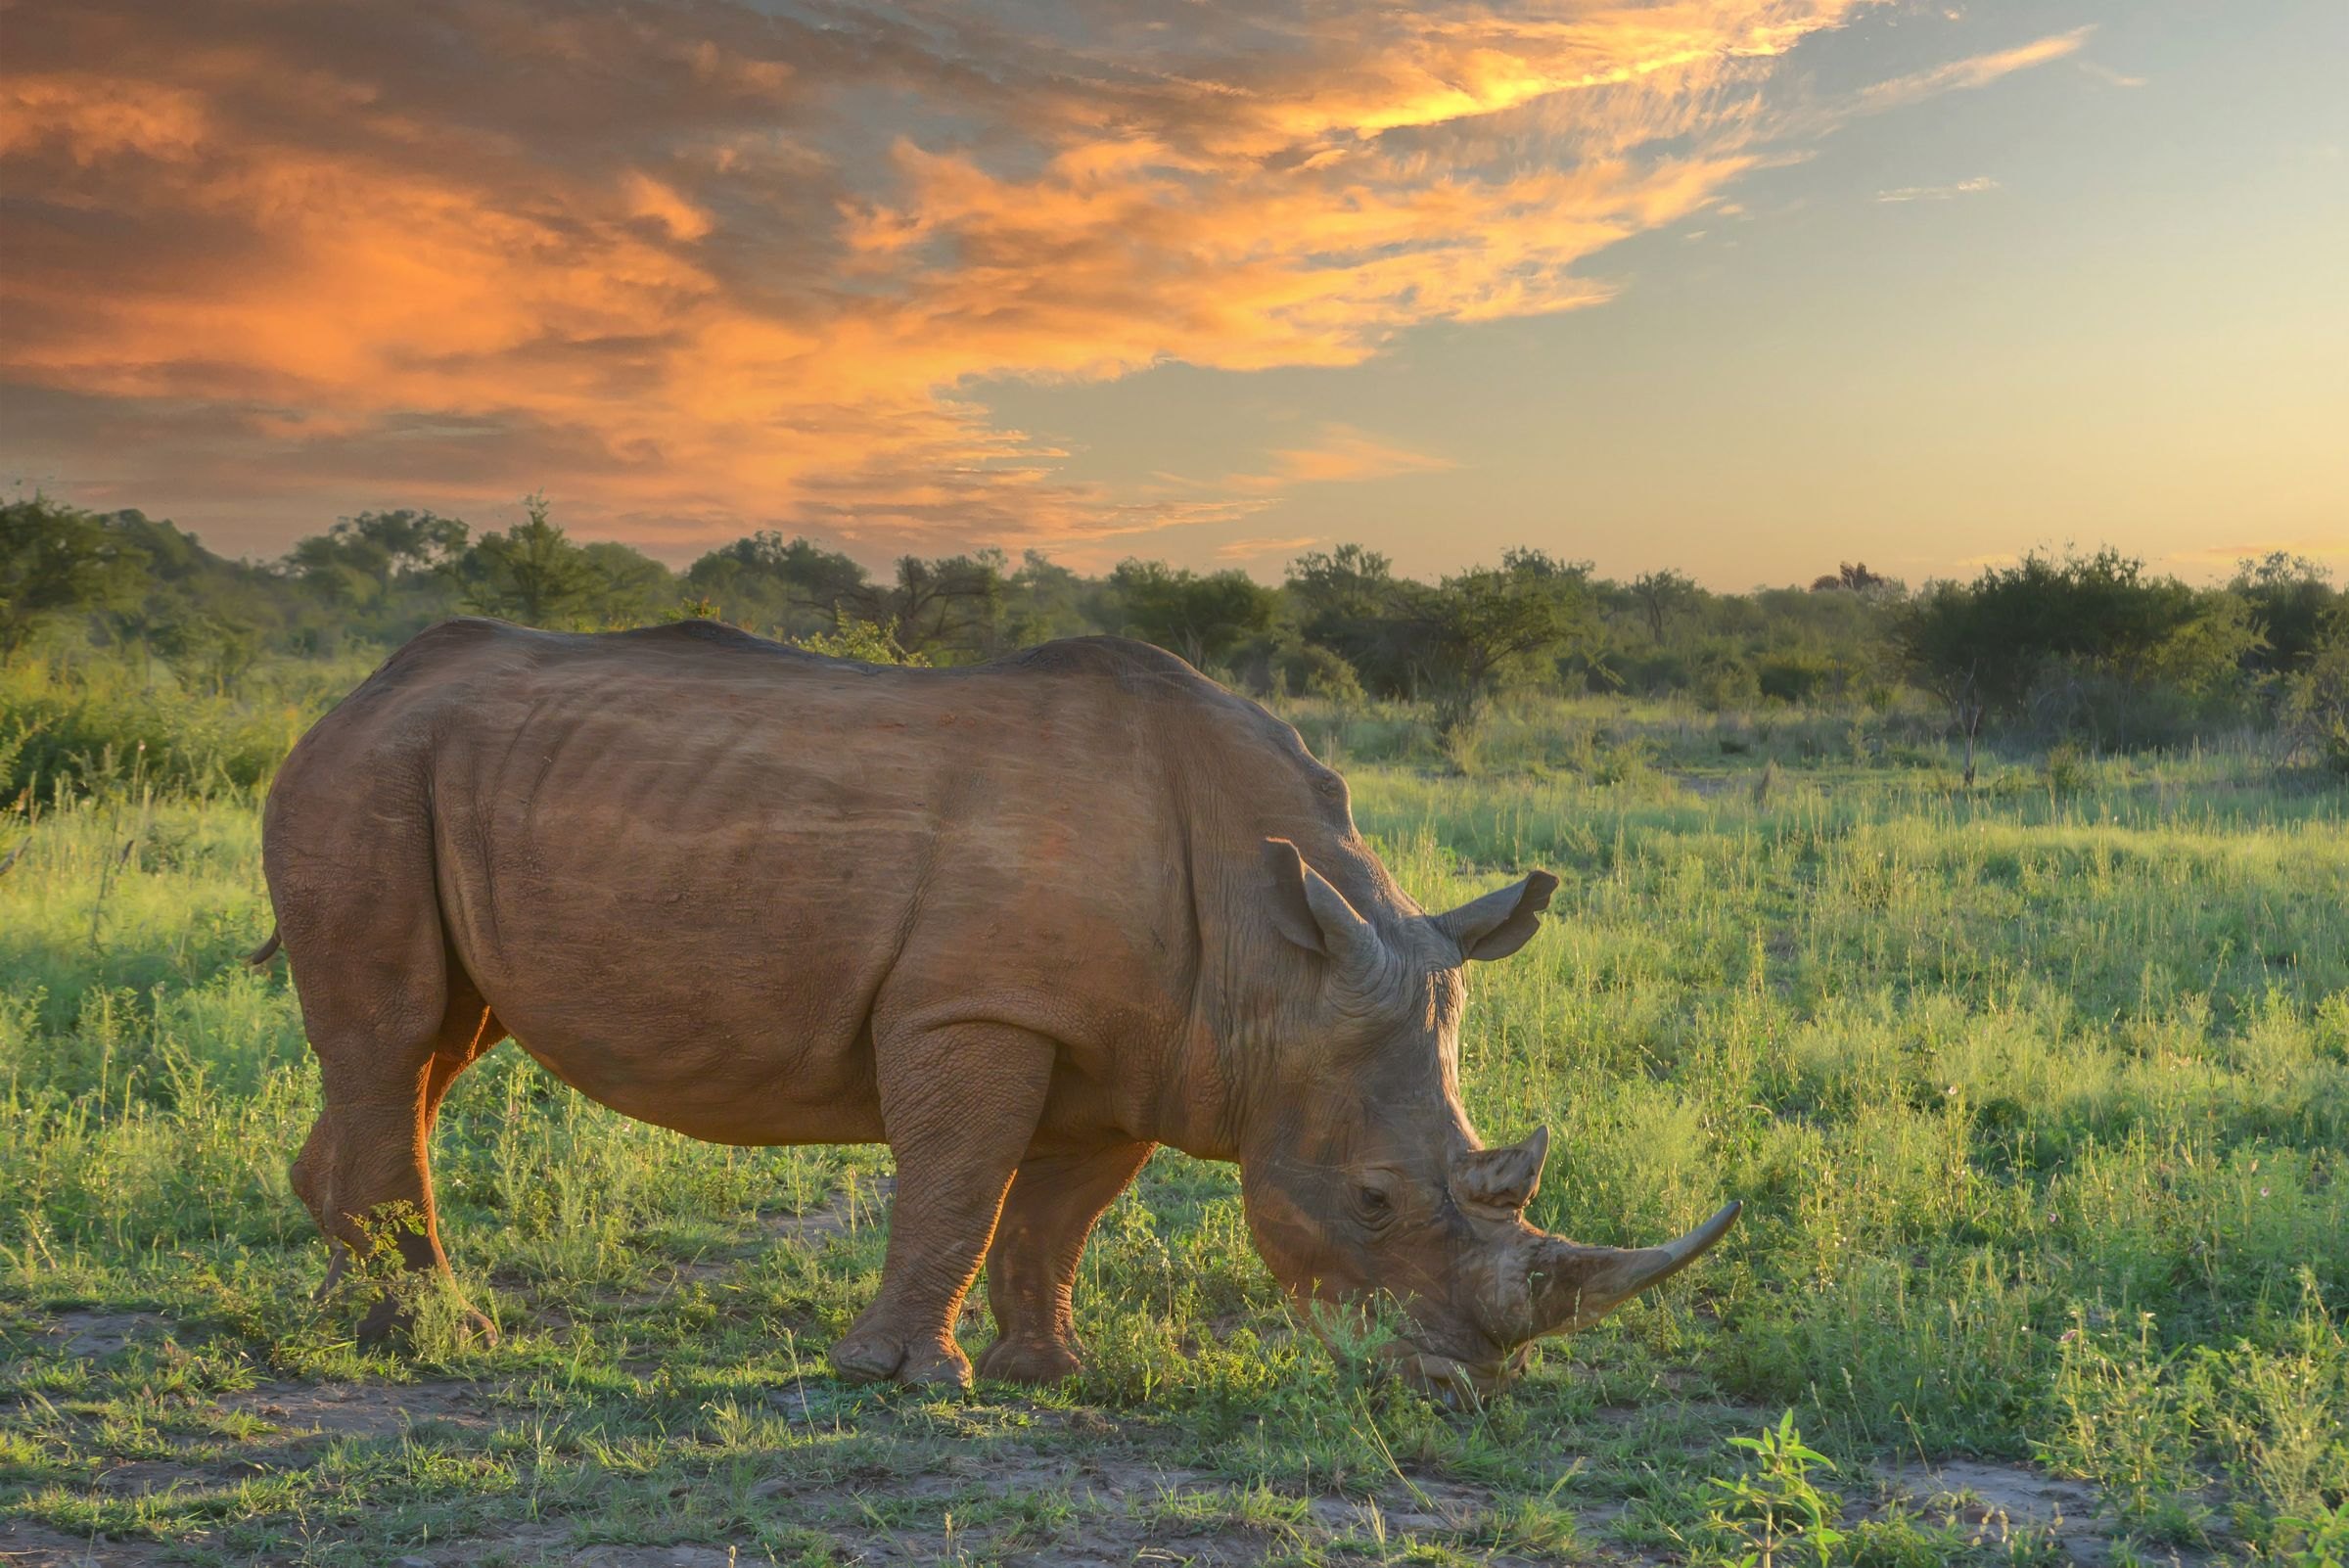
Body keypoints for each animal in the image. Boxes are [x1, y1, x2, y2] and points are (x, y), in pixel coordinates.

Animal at [258, 619, 1738, 1393]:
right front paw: (909, 1382)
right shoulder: (977, 1010)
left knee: (429, 1048)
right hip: (370, 774)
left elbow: (1057, 1211)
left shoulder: (1153, 1046)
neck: (1275, 958)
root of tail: (354, 690)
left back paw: (348, 1305)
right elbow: (961, 1180)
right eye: (1373, 1200)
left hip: (439, 777)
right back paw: (432, 1337)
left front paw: (1050, 1370)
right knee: (396, 1035)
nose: (1458, 1390)